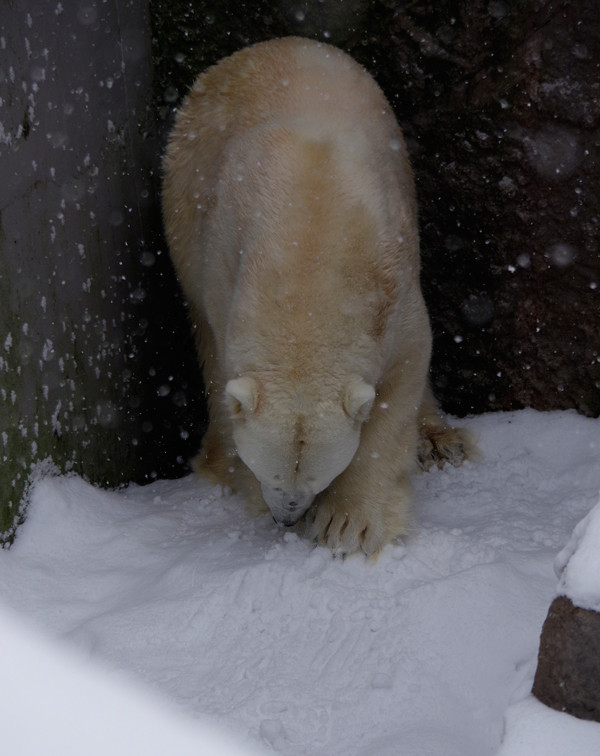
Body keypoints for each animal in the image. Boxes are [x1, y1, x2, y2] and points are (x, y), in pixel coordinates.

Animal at [161, 37, 474, 556]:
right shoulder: (224, 268)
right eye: (269, 472)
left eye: (316, 478)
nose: (287, 517)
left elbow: (404, 374)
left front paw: (347, 525)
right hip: (185, 188)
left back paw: (441, 441)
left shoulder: (395, 285)